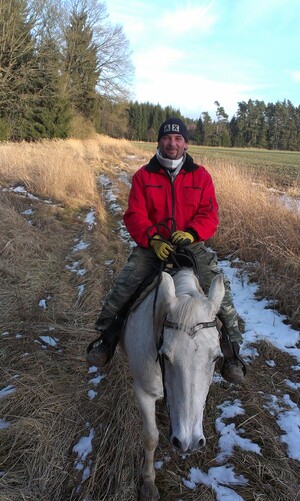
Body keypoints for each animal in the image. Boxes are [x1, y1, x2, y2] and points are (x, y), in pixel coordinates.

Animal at [123, 268, 224, 498]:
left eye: (216, 358)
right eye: (165, 356)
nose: (189, 442)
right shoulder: (143, 392)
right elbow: (150, 437)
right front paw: (148, 483)